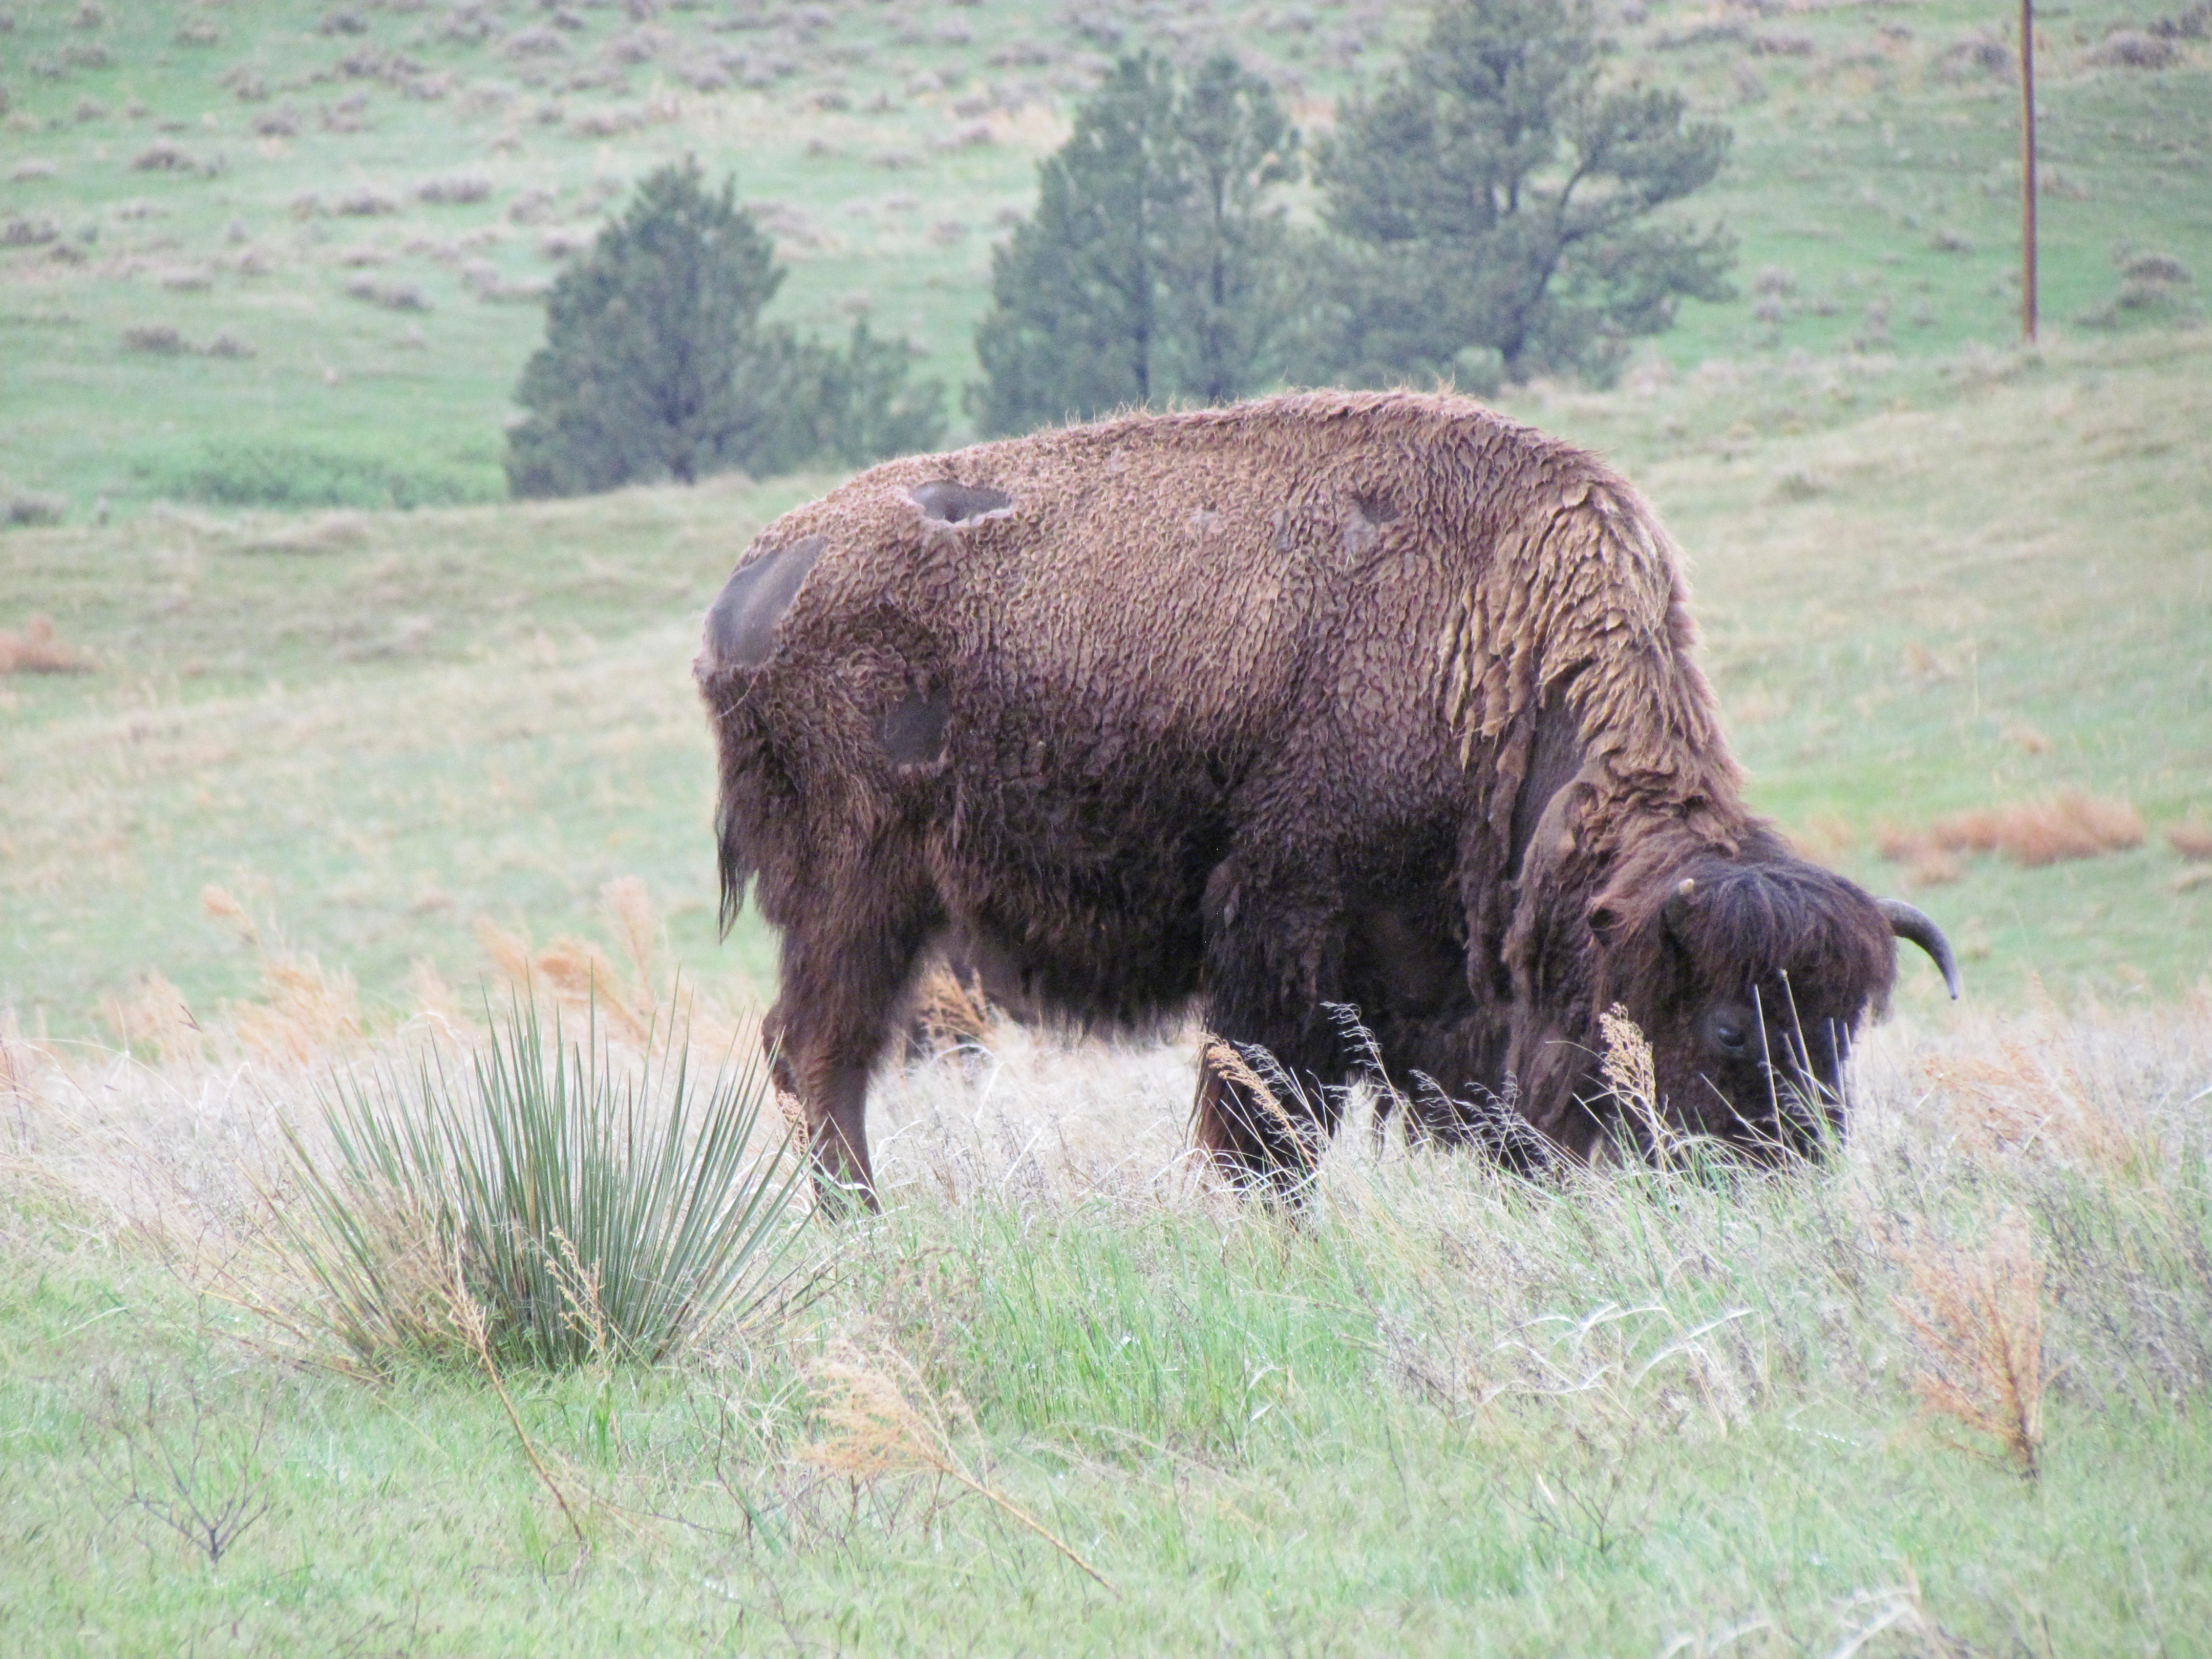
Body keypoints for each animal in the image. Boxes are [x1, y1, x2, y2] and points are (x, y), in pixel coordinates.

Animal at [694, 391, 1956, 1204]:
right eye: (1729, 1025)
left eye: (1844, 1032)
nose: (1789, 1183)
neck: (1490, 644)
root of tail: (754, 582)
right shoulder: (1285, 942)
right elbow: (1268, 1124)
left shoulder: (1448, 991)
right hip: (857, 893)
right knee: (821, 1055)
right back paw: (864, 1225)